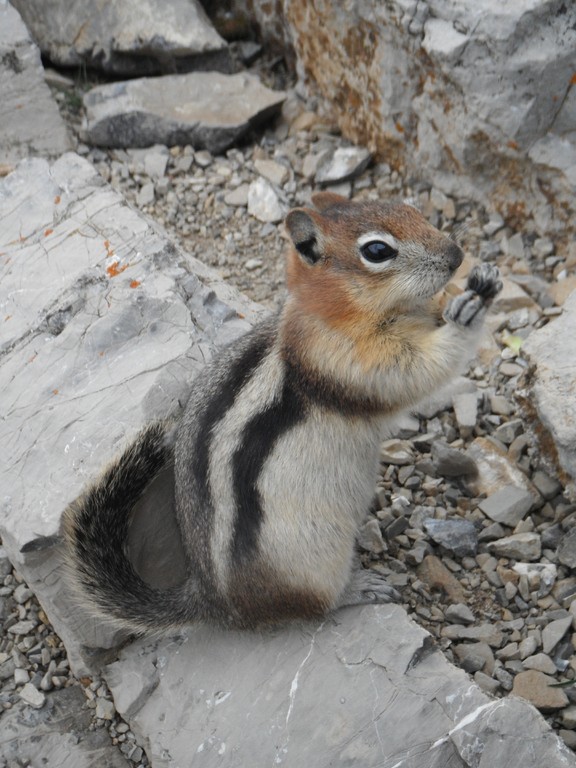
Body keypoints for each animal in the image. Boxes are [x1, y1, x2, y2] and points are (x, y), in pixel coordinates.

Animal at [65, 192, 502, 632]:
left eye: (410, 209)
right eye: (377, 251)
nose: (456, 255)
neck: (328, 313)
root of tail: (216, 602)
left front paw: (480, 282)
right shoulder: (347, 361)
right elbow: (417, 371)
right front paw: (466, 313)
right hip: (315, 557)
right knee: (317, 604)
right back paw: (361, 587)